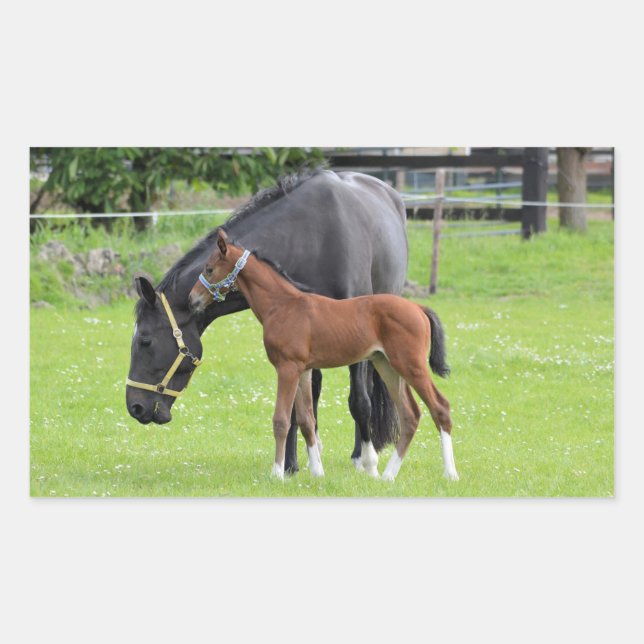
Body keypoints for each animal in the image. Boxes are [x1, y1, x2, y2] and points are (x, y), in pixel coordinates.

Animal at [126, 167, 408, 473]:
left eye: (145, 341)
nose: (135, 407)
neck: (310, 237)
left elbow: (360, 401)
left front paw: (365, 461)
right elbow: (295, 406)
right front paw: (291, 464)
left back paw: (359, 454)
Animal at [189, 230, 459, 482]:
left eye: (209, 269)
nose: (192, 299)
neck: (283, 305)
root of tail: (418, 308)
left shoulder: (287, 368)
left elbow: (281, 419)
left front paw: (277, 473)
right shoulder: (304, 370)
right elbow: (307, 420)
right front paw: (317, 472)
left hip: (411, 365)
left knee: (440, 407)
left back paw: (450, 473)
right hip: (387, 366)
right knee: (410, 415)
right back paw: (388, 476)